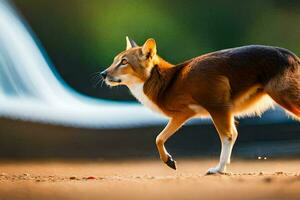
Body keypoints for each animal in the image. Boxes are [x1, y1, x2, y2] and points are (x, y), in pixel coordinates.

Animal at [101, 36, 300, 174]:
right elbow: (159, 138)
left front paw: (217, 169)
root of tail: (291, 55)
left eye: (124, 62)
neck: (164, 82)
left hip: (283, 97)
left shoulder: (203, 110)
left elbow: (159, 137)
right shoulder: (199, 113)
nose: (103, 74)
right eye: (114, 60)